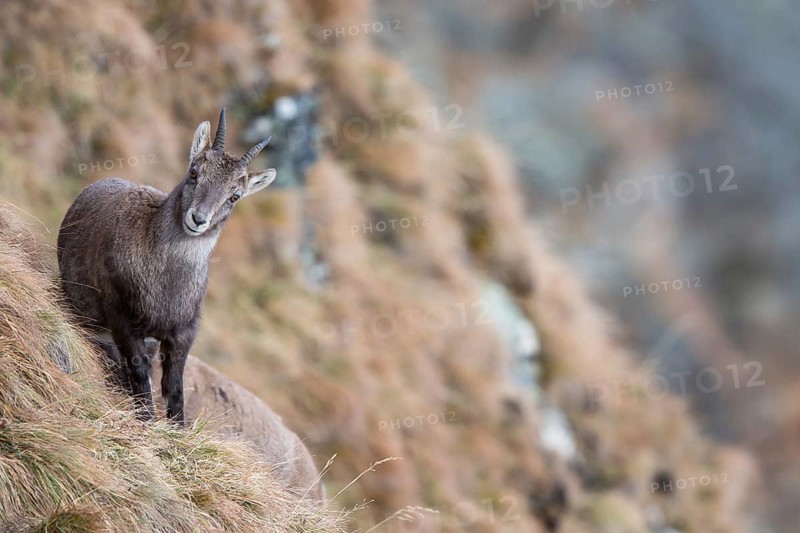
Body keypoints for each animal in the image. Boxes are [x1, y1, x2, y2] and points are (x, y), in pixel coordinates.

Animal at [57, 109, 276, 424]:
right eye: (194, 172)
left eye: (234, 197)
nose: (198, 219)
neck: (166, 282)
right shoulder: (123, 318)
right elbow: (140, 373)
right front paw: (147, 421)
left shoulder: (183, 331)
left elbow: (173, 386)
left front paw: (178, 428)